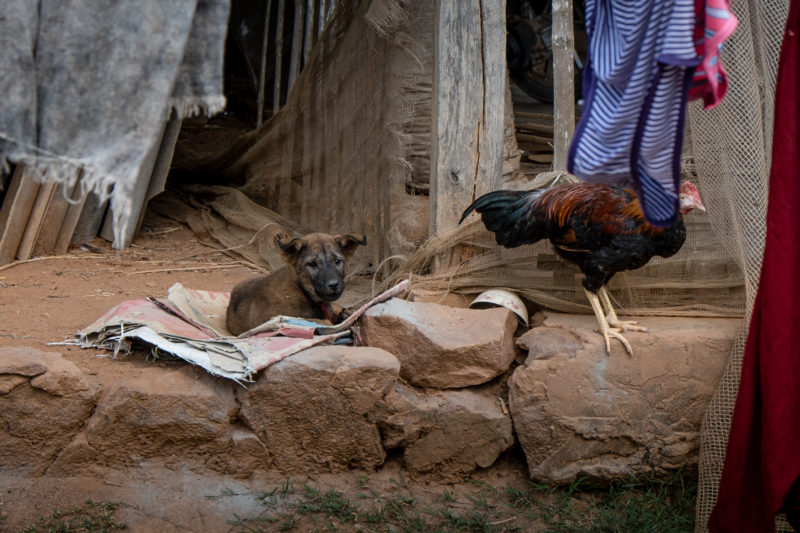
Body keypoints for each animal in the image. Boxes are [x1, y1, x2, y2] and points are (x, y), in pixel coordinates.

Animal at [227, 232, 368, 334]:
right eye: (312, 264)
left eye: (337, 261)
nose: (333, 284)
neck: (303, 292)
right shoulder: (267, 321)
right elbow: (320, 322)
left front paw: (347, 314)